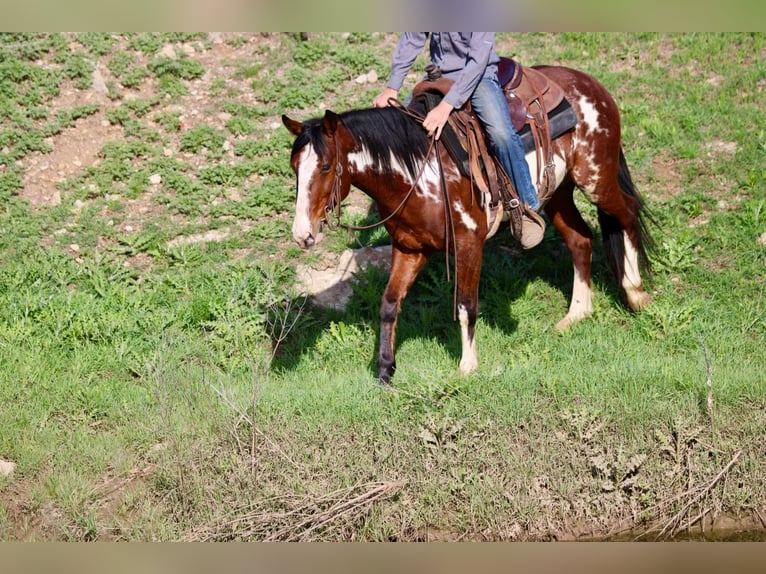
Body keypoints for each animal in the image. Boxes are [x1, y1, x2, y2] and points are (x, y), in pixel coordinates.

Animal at [282, 64, 654, 384]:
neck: (418, 170)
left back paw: (636, 294)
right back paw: (576, 314)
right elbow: (389, 304)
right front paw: (385, 370)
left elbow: (465, 306)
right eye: (294, 167)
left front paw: (467, 367)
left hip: (596, 179)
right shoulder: (410, 248)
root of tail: (590, 83)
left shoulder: (468, 242)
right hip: (558, 193)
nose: (302, 234)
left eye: (326, 166)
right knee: (581, 239)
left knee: (627, 214)